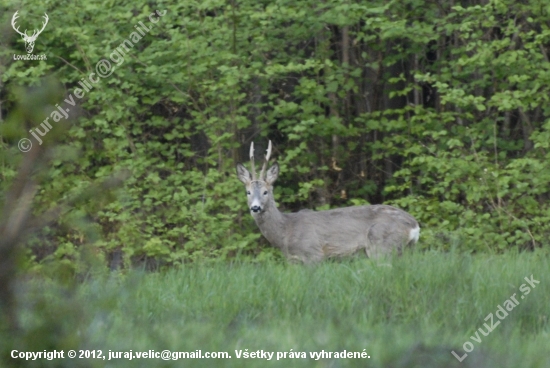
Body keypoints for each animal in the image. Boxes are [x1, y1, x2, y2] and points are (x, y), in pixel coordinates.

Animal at [237, 139, 422, 264]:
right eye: (248, 192)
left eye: (265, 191)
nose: (255, 207)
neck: (285, 232)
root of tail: (414, 225)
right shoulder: (293, 261)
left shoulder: (313, 253)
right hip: (405, 249)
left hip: (382, 245)